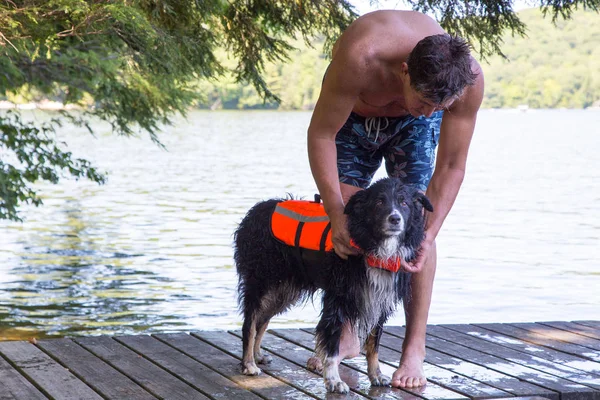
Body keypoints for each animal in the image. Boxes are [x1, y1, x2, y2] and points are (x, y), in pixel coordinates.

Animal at [232, 178, 434, 394]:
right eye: (379, 202)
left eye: (404, 203)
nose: (395, 218)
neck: (373, 247)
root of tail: (256, 211)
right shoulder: (337, 298)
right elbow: (332, 345)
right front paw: (334, 380)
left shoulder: (379, 301)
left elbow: (373, 345)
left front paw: (376, 375)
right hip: (261, 281)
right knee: (250, 323)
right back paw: (249, 364)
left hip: (282, 291)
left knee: (262, 321)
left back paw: (257, 355)